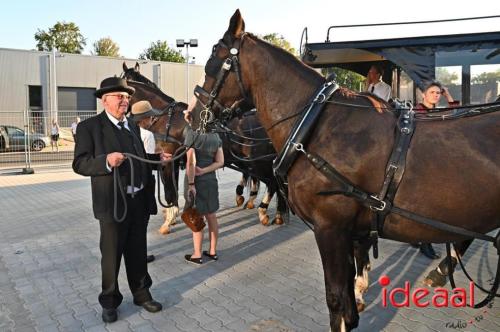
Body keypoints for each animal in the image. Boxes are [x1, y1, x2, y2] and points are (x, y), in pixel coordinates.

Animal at [192, 9, 500, 330]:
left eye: (214, 56)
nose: (192, 114)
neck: (315, 125)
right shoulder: (352, 230)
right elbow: (350, 298)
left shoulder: (331, 228)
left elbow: (337, 300)